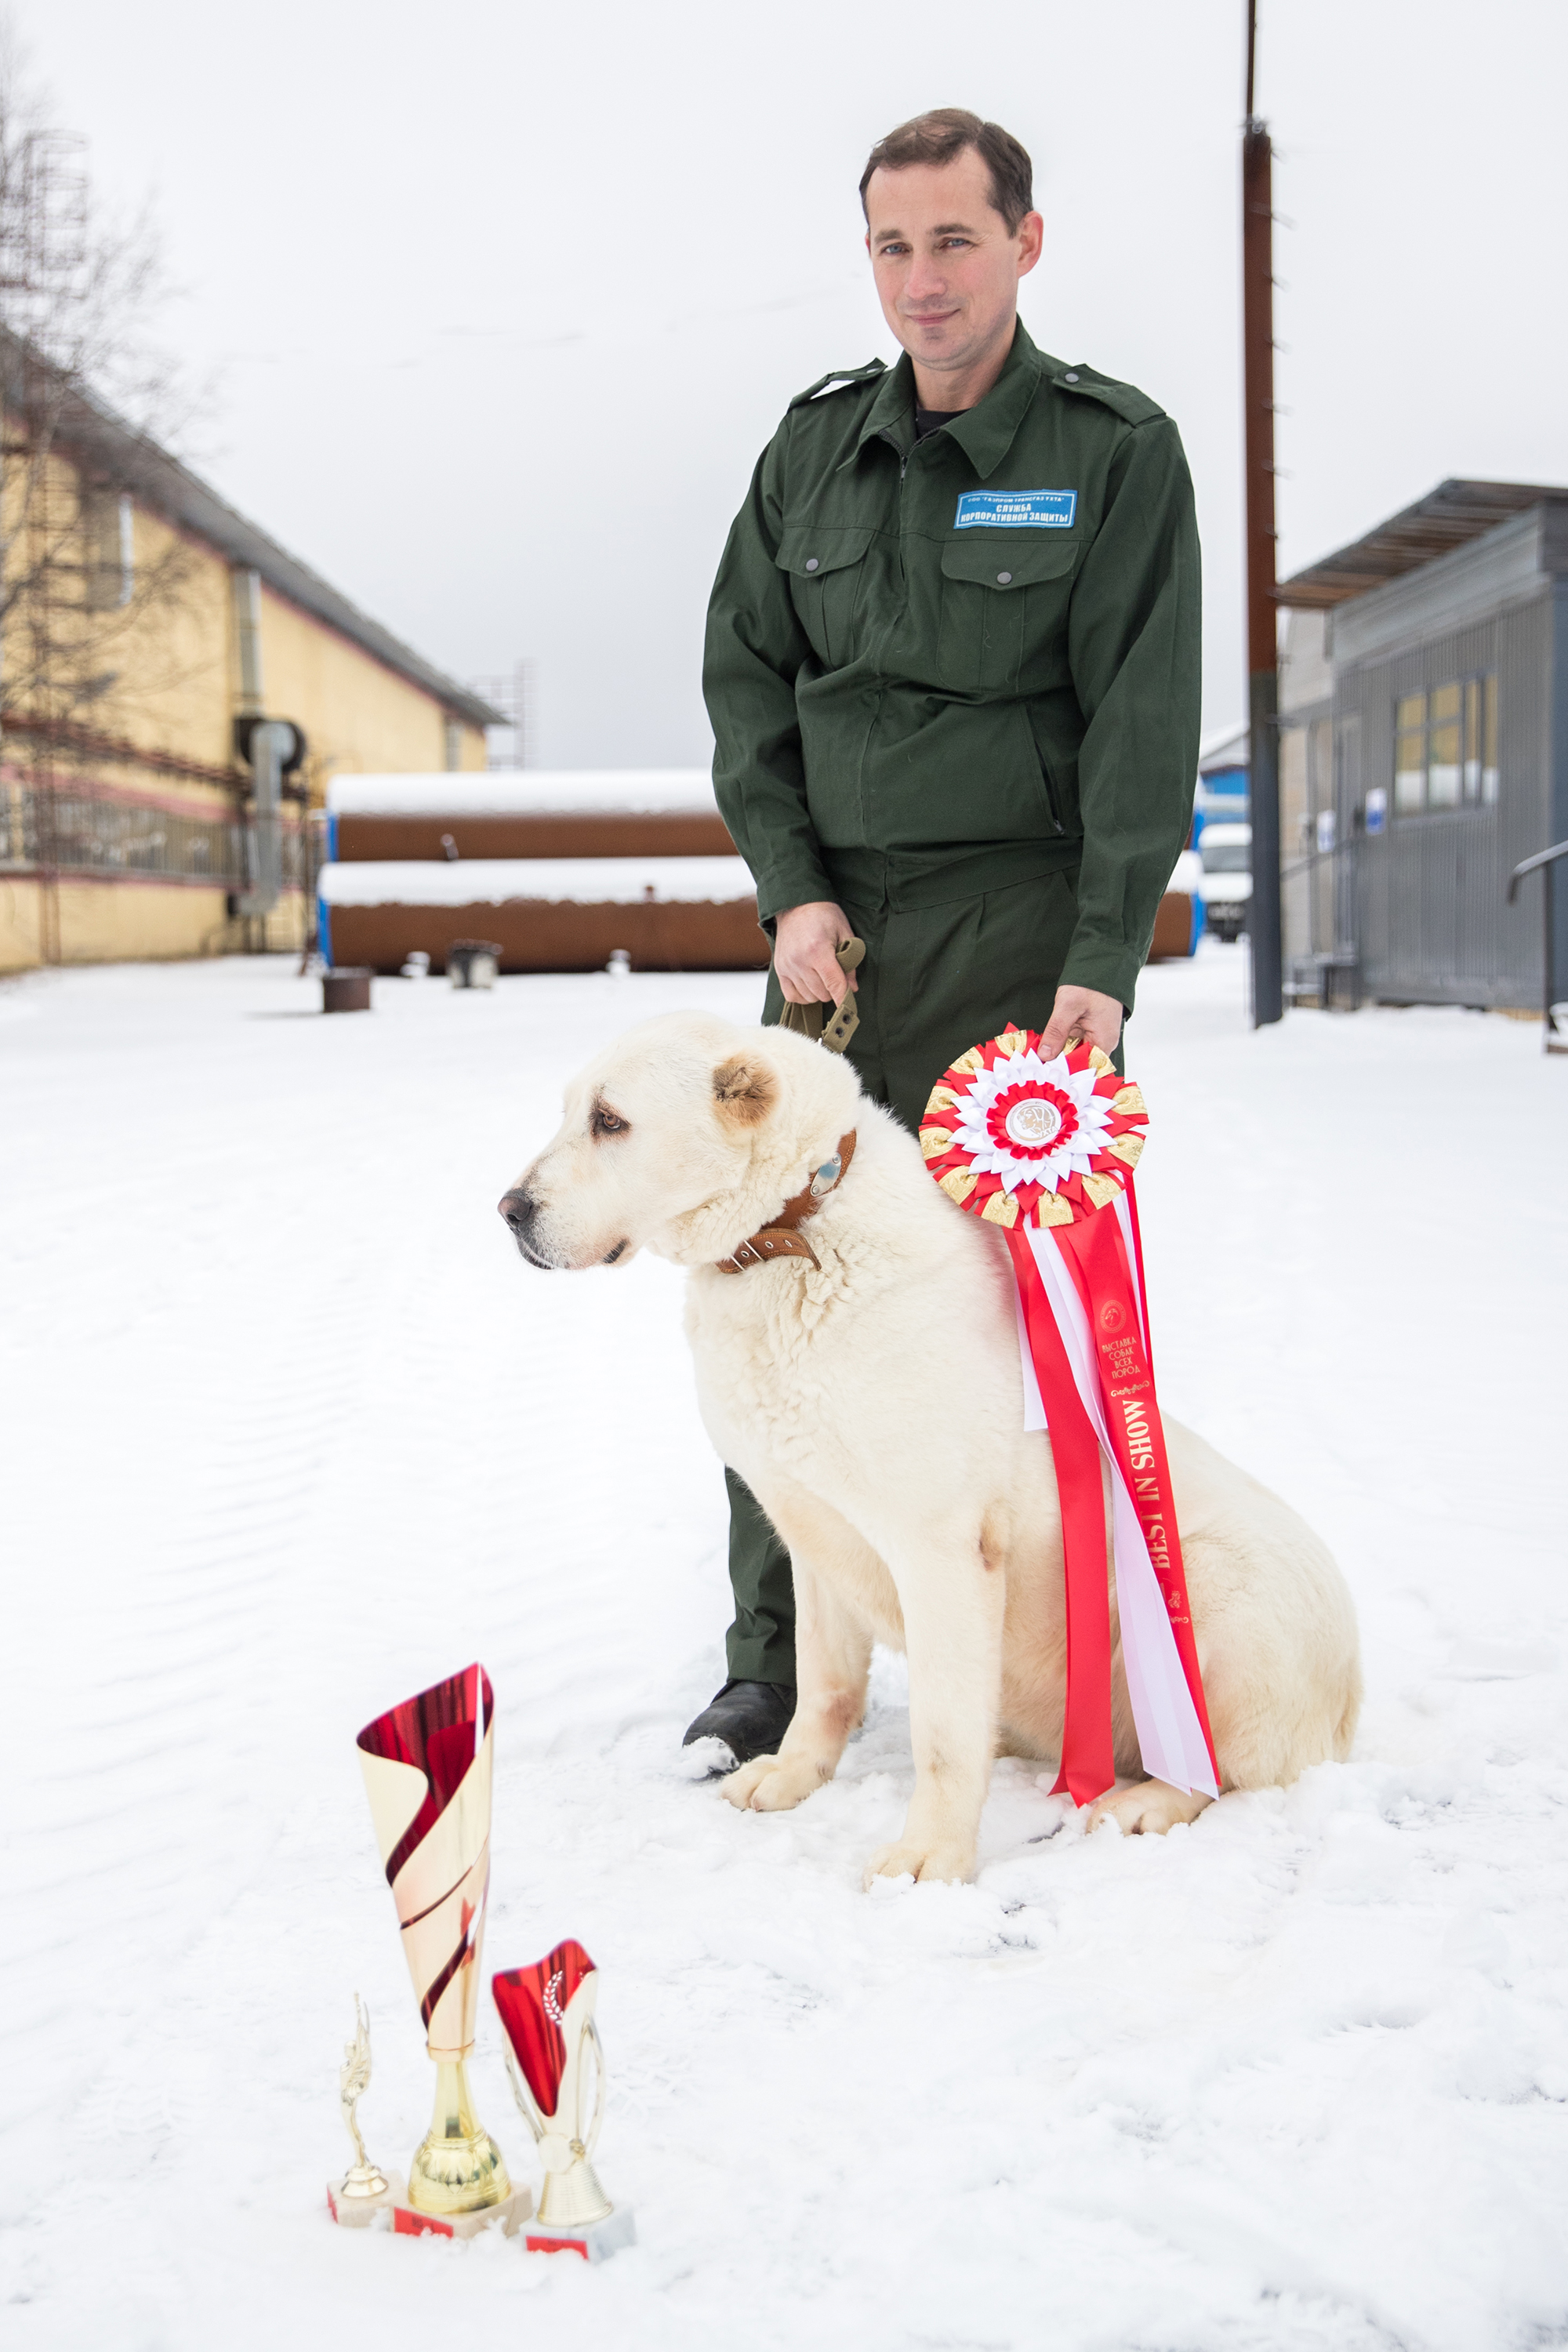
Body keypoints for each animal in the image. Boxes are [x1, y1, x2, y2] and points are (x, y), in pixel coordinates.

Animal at [503, 1016, 1363, 1891]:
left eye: (610, 1121)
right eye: (573, 1112)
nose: (508, 1210)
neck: (793, 1233)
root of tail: (1347, 1709)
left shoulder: (942, 1549)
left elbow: (943, 1736)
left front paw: (931, 1857)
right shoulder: (811, 1532)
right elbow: (823, 1684)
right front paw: (793, 1776)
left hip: (1212, 1588)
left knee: (1222, 1770)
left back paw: (1144, 1804)